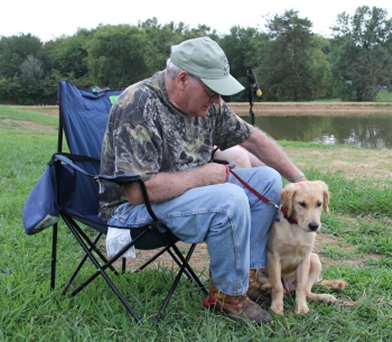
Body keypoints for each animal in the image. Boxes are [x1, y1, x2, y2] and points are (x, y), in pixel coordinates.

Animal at [266, 180, 346, 316]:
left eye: (319, 204)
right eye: (302, 204)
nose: (314, 226)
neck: (295, 227)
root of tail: (289, 286)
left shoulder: (305, 258)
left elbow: (302, 287)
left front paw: (301, 307)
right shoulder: (273, 255)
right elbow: (277, 286)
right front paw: (276, 307)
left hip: (315, 260)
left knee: (307, 291)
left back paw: (326, 297)